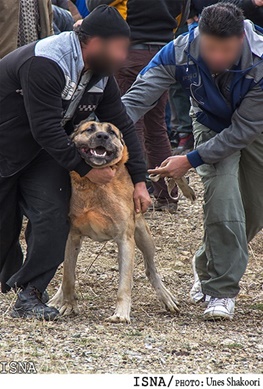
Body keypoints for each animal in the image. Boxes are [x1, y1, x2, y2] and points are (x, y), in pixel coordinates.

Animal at [49, 120, 194, 322]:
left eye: (112, 132)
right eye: (89, 129)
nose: (102, 136)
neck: (94, 184)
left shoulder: (125, 239)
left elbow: (124, 283)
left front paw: (121, 313)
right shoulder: (72, 237)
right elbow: (68, 277)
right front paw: (68, 304)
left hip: (144, 236)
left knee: (150, 269)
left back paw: (166, 297)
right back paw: (57, 298)